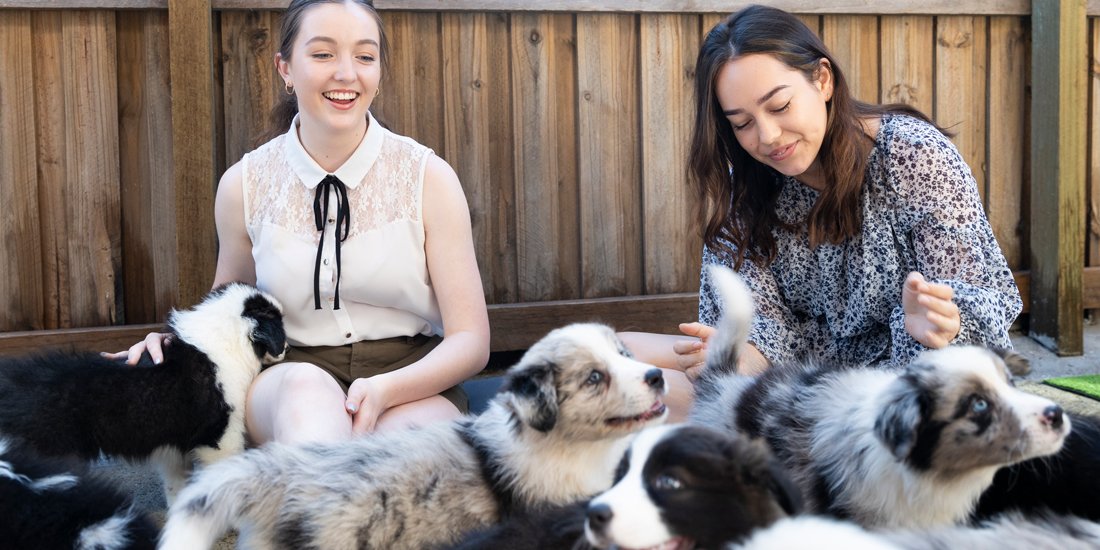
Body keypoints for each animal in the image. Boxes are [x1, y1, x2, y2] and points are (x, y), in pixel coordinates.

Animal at [0, 281, 288, 501]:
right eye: (281, 327)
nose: (287, 348)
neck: (224, 339)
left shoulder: (173, 446)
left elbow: (176, 485)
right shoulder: (220, 437)